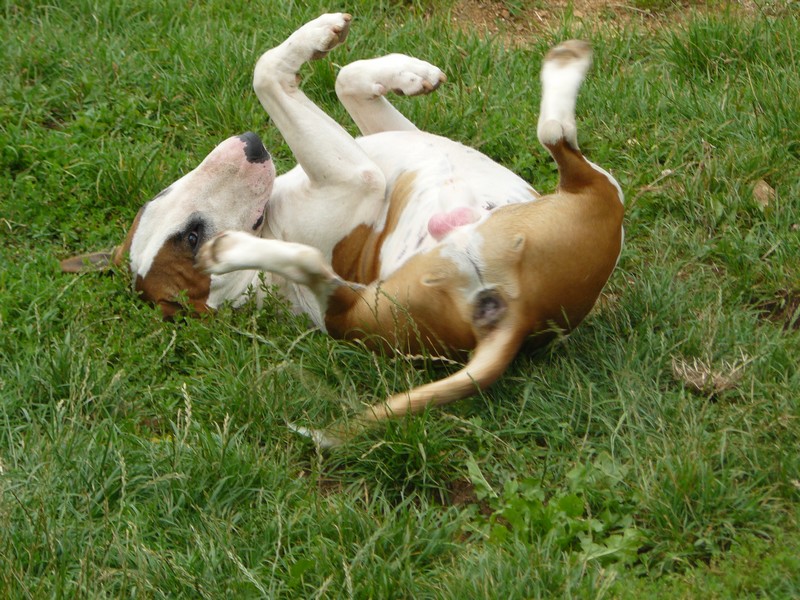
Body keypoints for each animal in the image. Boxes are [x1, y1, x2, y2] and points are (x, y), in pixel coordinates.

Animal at [62, 13, 624, 446]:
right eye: (191, 238)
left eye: (158, 198)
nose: (251, 144)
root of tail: (519, 316)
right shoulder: (357, 177)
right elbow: (266, 70)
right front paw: (318, 36)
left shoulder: (384, 143)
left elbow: (345, 79)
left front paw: (407, 72)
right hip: (591, 202)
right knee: (556, 137)